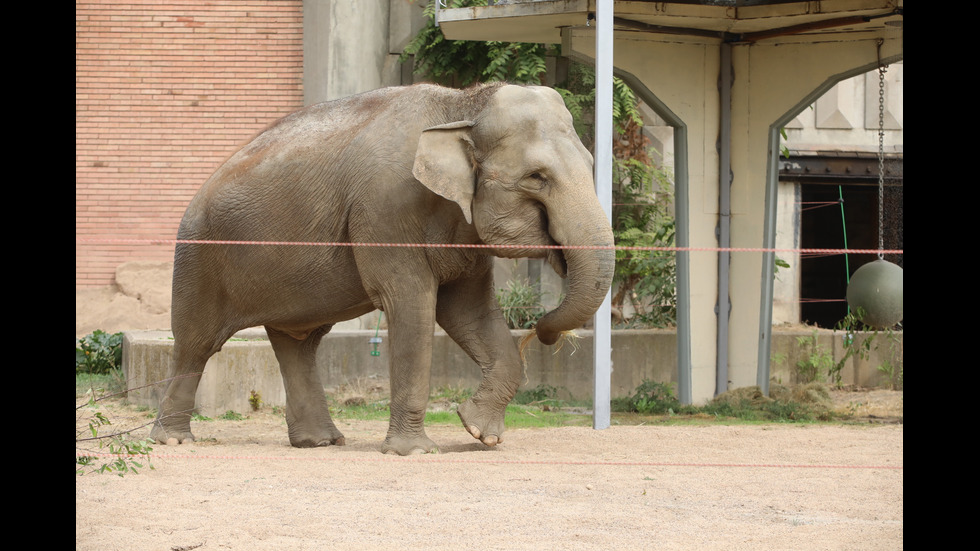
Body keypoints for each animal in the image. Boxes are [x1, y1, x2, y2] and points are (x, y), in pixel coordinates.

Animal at [147, 81, 612, 452]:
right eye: (536, 177)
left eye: (593, 166)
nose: (543, 331)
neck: (461, 105)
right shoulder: (386, 210)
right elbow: (412, 306)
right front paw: (415, 451)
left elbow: (470, 313)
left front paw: (480, 433)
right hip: (198, 256)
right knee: (196, 343)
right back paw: (174, 440)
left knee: (298, 345)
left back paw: (321, 442)